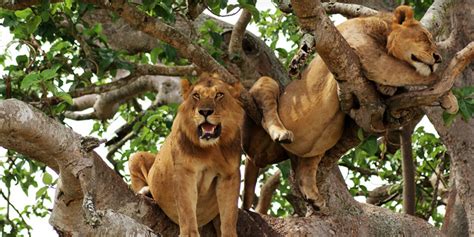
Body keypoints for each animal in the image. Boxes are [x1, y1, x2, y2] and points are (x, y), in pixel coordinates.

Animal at [129, 73, 244, 236]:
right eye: (196, 95)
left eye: (219, 95)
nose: (205, 111)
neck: (211, 148)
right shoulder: (185, 171)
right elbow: (186, 209)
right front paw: (189, 234)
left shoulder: (229, 175)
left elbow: (229, 214)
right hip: (136, 156)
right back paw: (146, 191)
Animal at [244, 5, 444, 213]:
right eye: (424, 37)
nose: (438, 58)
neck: (383, 31)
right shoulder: (363, 49)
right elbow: (406, 72)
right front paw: (448, 88)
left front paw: (387, 88)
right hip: (268, 86)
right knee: (267, 111)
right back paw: (280, 132)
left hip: (315, 148)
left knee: (306, 168)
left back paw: (313, 195)